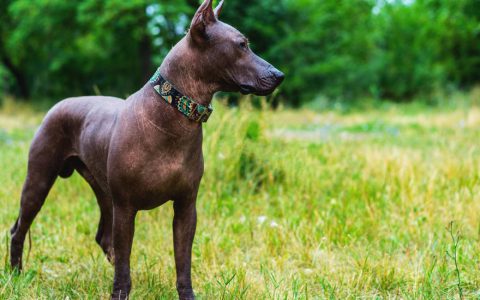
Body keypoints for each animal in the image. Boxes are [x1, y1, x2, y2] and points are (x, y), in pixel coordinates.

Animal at [9, 1, 284, 298]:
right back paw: (15, 275)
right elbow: (125, 261)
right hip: (40, 180)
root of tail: (59, 103)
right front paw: (120, 293)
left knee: (104, 239)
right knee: (19, 229)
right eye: (242, 45)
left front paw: (186, 294)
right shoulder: (126, 208)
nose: (279, 75)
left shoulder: (186, 208)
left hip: (103, 192)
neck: (174, 114)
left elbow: (183, 263)